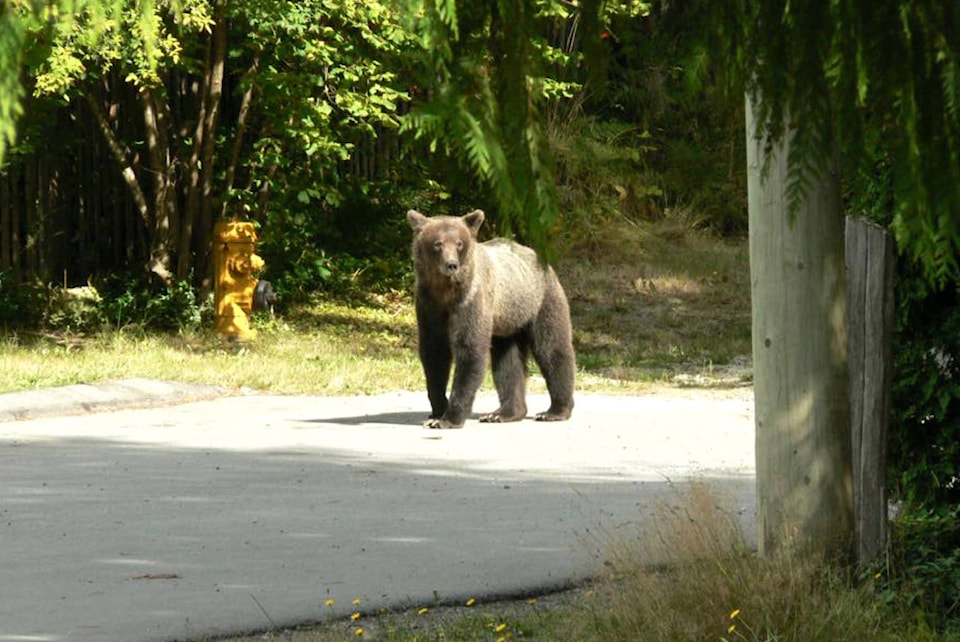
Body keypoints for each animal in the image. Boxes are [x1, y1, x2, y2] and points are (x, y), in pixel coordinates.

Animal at [404, 210, 572, 428]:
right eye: (437, 243)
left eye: (459, 243)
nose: (451, 265)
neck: (445, 291)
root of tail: (541, 260)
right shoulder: (429, 305)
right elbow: (434, 353)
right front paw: (436, 412)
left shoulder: (470, 300)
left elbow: (470, 350)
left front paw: (449, 419)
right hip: (508, 321)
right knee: (507, 362)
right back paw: (504, 413)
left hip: (540, 301)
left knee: (552, 348)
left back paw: (555, 411)